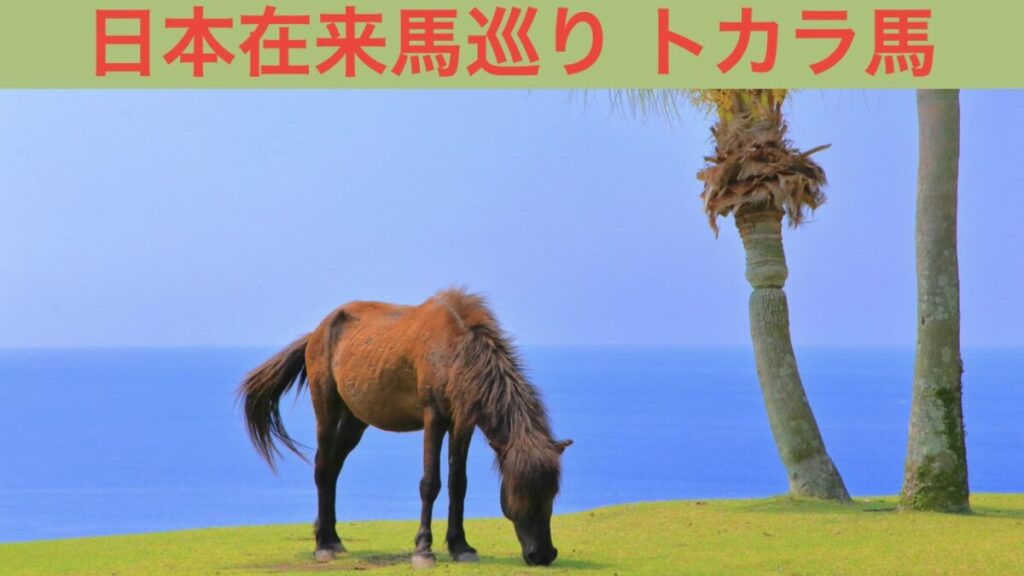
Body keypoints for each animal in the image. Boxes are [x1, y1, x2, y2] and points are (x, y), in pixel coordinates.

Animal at [238, 289, 572, 568]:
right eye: (519, 492)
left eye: (552, 493)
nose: (543, 554)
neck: (455, 351)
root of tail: (317, 332)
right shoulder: (434, 418)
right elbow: (430, 483)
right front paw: (424, 550)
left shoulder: (462, 422)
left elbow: (458, 484)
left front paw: (461, 546)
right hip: (327, 407)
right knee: (322, 468)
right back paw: (323, 546)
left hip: (356, 419)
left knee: (333, 468)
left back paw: (332, 537)